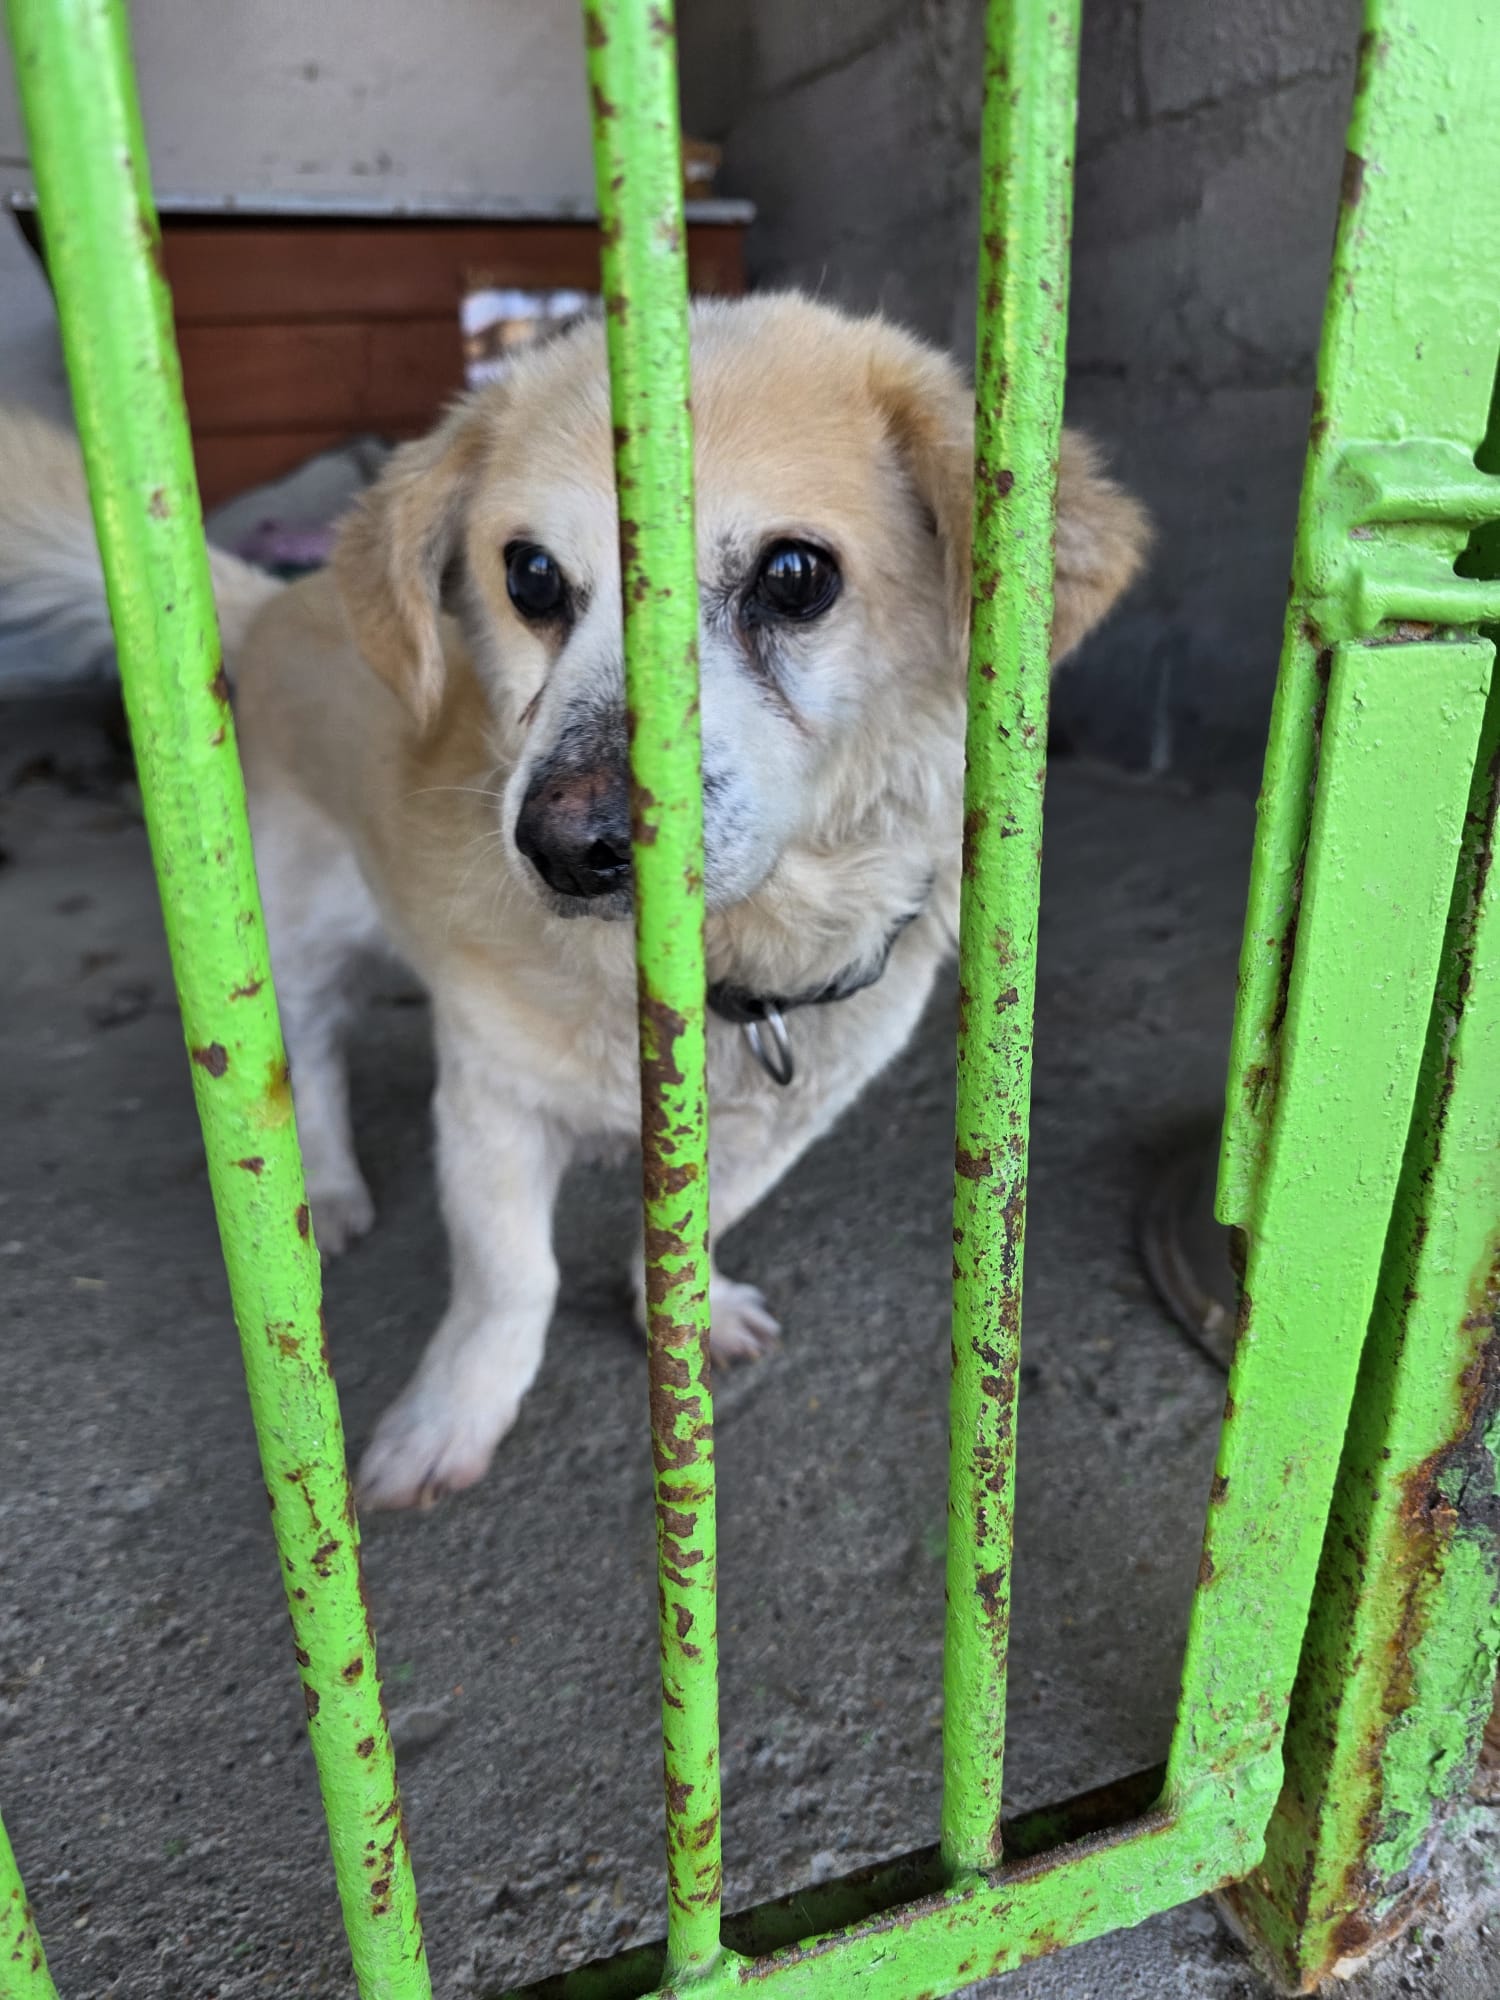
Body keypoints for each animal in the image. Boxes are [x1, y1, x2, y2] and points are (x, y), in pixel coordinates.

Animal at [0, 293, 1148, 1509]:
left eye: (795, 575)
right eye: (533, 578)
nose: (568, 847)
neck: (720, 974)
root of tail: (270, 607)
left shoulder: (787, 1119)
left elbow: (697, 1226)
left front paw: (681, 1313)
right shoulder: (488, 1103)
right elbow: (513, 1279)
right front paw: (452, 1417)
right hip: (291, 928)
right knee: (303, 1058)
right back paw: (328, 1183)